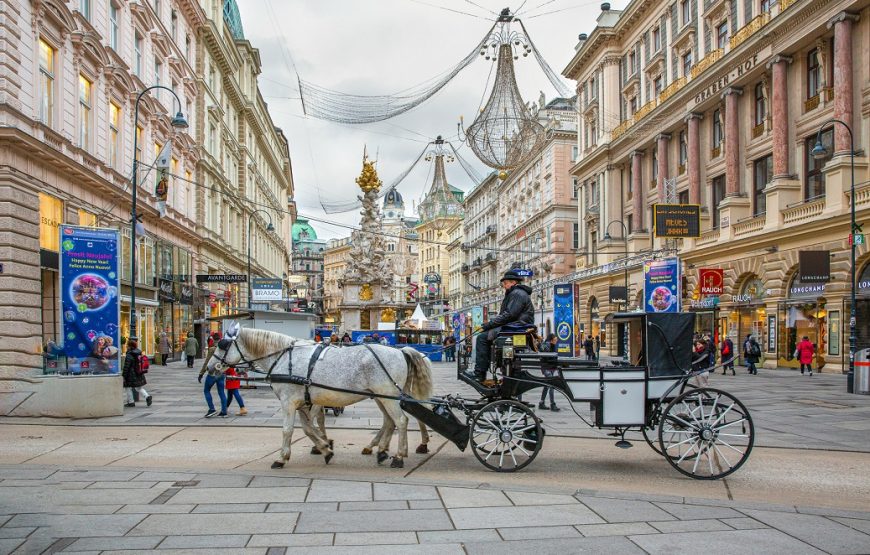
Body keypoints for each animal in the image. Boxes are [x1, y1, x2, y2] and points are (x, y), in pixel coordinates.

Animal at [208, 324, 432, 472]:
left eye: (222, 344)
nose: (210, 368)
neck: (283, 358)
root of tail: (401, 351)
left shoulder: (288, 402)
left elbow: (288, 430)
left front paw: (282, 458)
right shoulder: (302, 402)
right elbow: (308, 428)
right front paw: (325, 448)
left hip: (389, 396)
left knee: (401, 421)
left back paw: (399, 456)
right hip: (382, 396)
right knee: (390, 421)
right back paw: (381, 451)